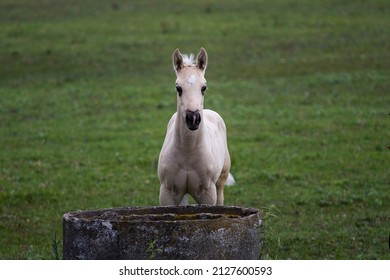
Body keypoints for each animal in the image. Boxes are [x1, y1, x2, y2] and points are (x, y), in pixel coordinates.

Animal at [157, 47, 233, 206]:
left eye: (204, 87)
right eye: (178, 88)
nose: (193, 119)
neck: (188, 152)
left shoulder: (208, 194)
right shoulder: (167, 193)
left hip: (221, 181)